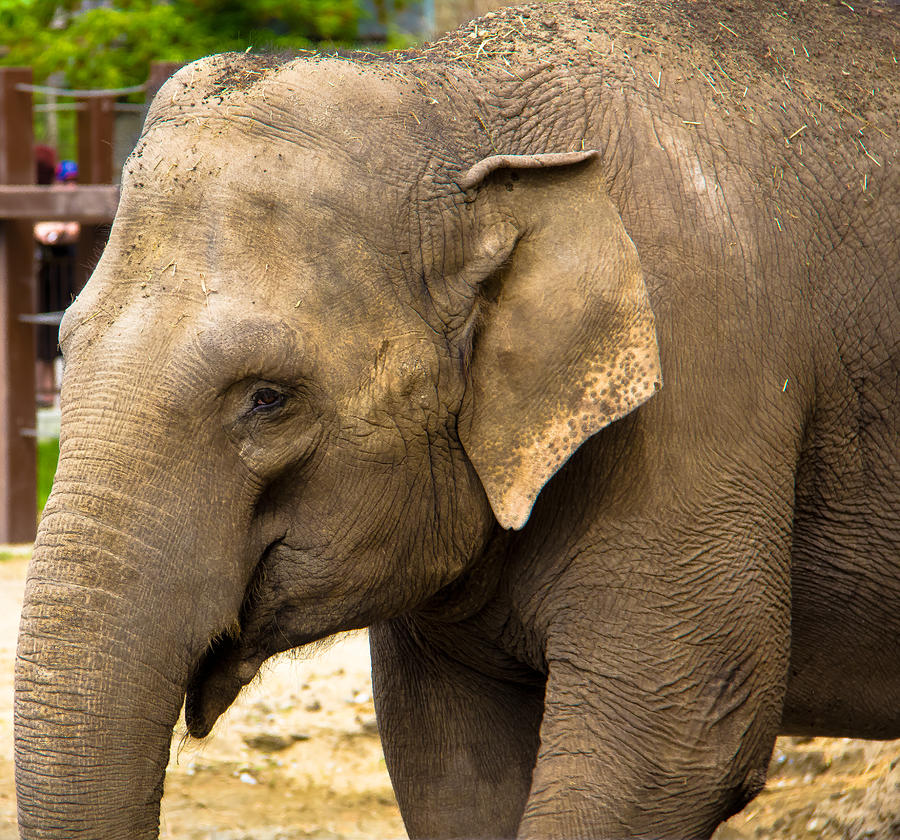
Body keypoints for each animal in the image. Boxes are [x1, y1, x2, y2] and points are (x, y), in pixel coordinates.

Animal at [14, 0, 900, 836]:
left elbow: (677, 739)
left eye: (268, 399)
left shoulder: (704, 382)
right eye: (64, 345)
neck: (460, 102)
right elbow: (449, 759)